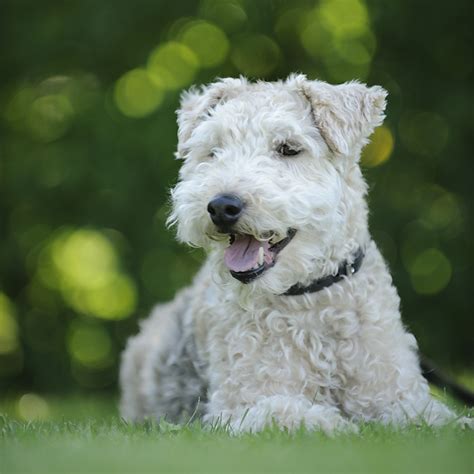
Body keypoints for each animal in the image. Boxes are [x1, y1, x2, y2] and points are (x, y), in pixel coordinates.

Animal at [119, 75, 470, 434]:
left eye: (289, 148)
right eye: (213, 151)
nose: (221, 206)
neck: (311, 299)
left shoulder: (396, 392)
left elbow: (433, 417)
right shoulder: (239, 406)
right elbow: (293, 413)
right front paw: (342, 426)